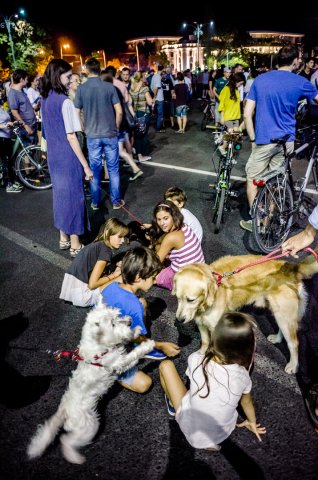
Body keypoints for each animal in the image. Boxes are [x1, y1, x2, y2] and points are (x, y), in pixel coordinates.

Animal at [27, 302, 155, 464]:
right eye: (112, 324)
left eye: (117, 315)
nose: (129, 320)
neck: (100, 347)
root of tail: (64, 409)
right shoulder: (118, 363)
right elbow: (133, 355)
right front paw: (147, 346)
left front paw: (135, 331)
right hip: (89, 426)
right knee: (65, 440)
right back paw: (75, 458)